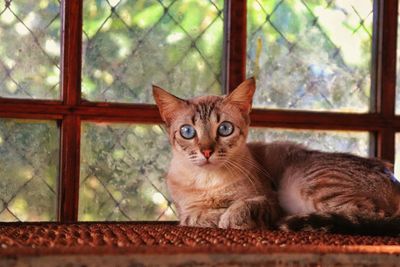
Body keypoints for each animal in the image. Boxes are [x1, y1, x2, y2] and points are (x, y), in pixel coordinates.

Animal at [152, 78, 400, 236]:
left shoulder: (270, 201)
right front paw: (218, 216)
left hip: (303, 182)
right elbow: (197, 216)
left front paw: (231, 218)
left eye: (224, 129)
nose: (206, 151)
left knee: (369, 215)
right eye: (187, 132)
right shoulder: (186, 212)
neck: (210, 183)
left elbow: (243, 205)